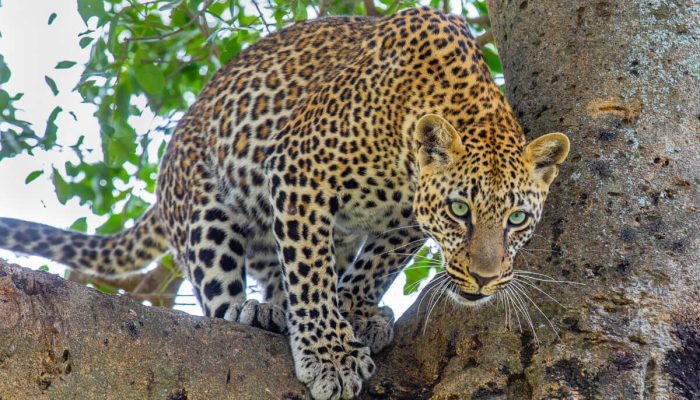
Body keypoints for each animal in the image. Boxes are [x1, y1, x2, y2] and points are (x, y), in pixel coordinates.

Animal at [0, 7, 570, 400]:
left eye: (517, 218)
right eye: (460, 211)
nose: (485, 280)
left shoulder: (404, 221)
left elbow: (376, 262)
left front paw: (357, 309)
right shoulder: (298, 172)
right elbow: (310, 274)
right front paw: (331, 354)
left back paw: (279, 305)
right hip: (206, 211)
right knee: (222, 290)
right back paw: (253, 311)